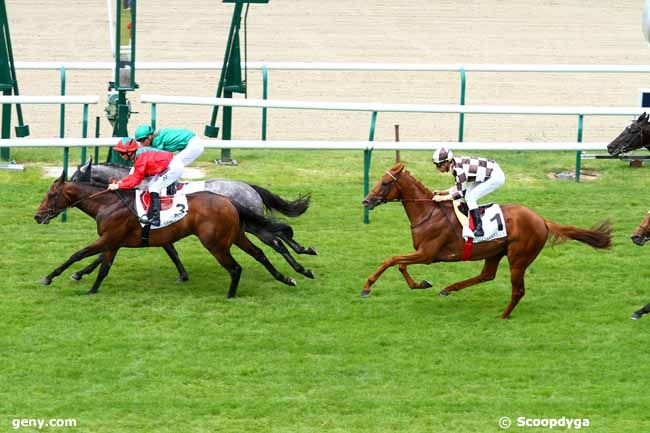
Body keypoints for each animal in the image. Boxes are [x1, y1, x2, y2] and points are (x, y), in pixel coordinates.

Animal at [34, 172, 296, 296]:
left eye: (51, 195)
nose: (37, 216)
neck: (108, 204)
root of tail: (230, 200)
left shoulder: (108, 239)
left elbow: (78, 255)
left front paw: (50, 277)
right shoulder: (114, 243)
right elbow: (103, 267)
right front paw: (91, 289)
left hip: (216, 243)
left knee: (237, 266)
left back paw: (232, 294)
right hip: (236, 236)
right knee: (260, 253)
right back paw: (287, 277)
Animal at [362, 162, 612, 318]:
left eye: (385, 183)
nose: (366, 200)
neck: (428, 213)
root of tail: (541, 219)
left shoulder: (427, 254)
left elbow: (392, 260)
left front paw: (367, 287)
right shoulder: (423, 254)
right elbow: (399, 263)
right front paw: (421, 284)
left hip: (518, 258)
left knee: (517, 290)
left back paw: (503, 315)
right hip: (495, 252)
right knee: (487, 275)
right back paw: (449, 288)